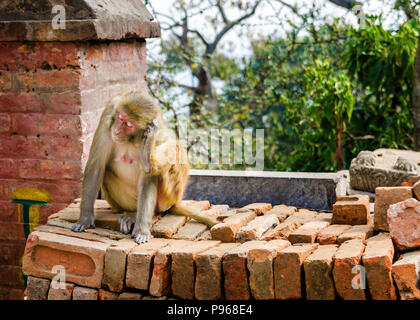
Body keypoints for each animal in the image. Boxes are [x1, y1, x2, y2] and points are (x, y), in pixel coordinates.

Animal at [73, 90, 220, 242]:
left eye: (129, 124)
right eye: (120, 118)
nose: (117, 130)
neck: (131, 138)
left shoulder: (157, 132)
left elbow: (148, 180)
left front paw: (142, 230)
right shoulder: (108, 114)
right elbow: (96, 166)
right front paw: (85, 219)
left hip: (167, 199)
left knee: (175, 147)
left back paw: (150, 165)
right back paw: (132, 213)